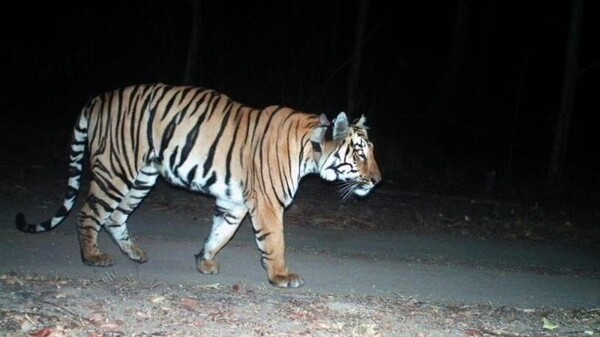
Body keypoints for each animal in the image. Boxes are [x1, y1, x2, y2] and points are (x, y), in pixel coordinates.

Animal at [16, 82, 382, 288]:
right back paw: (92, 256)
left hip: (142, 177)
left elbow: (220, 233)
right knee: (89, 214)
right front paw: (280, 276)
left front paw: (204, 261)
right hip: (115, 170)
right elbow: (274, 241)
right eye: (359, 152)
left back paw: (134, 254)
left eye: (371, 151)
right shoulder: (267, 204)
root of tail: (98, 99)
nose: (377, 181)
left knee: (115, 217)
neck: (310, 151)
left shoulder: (234, 203)